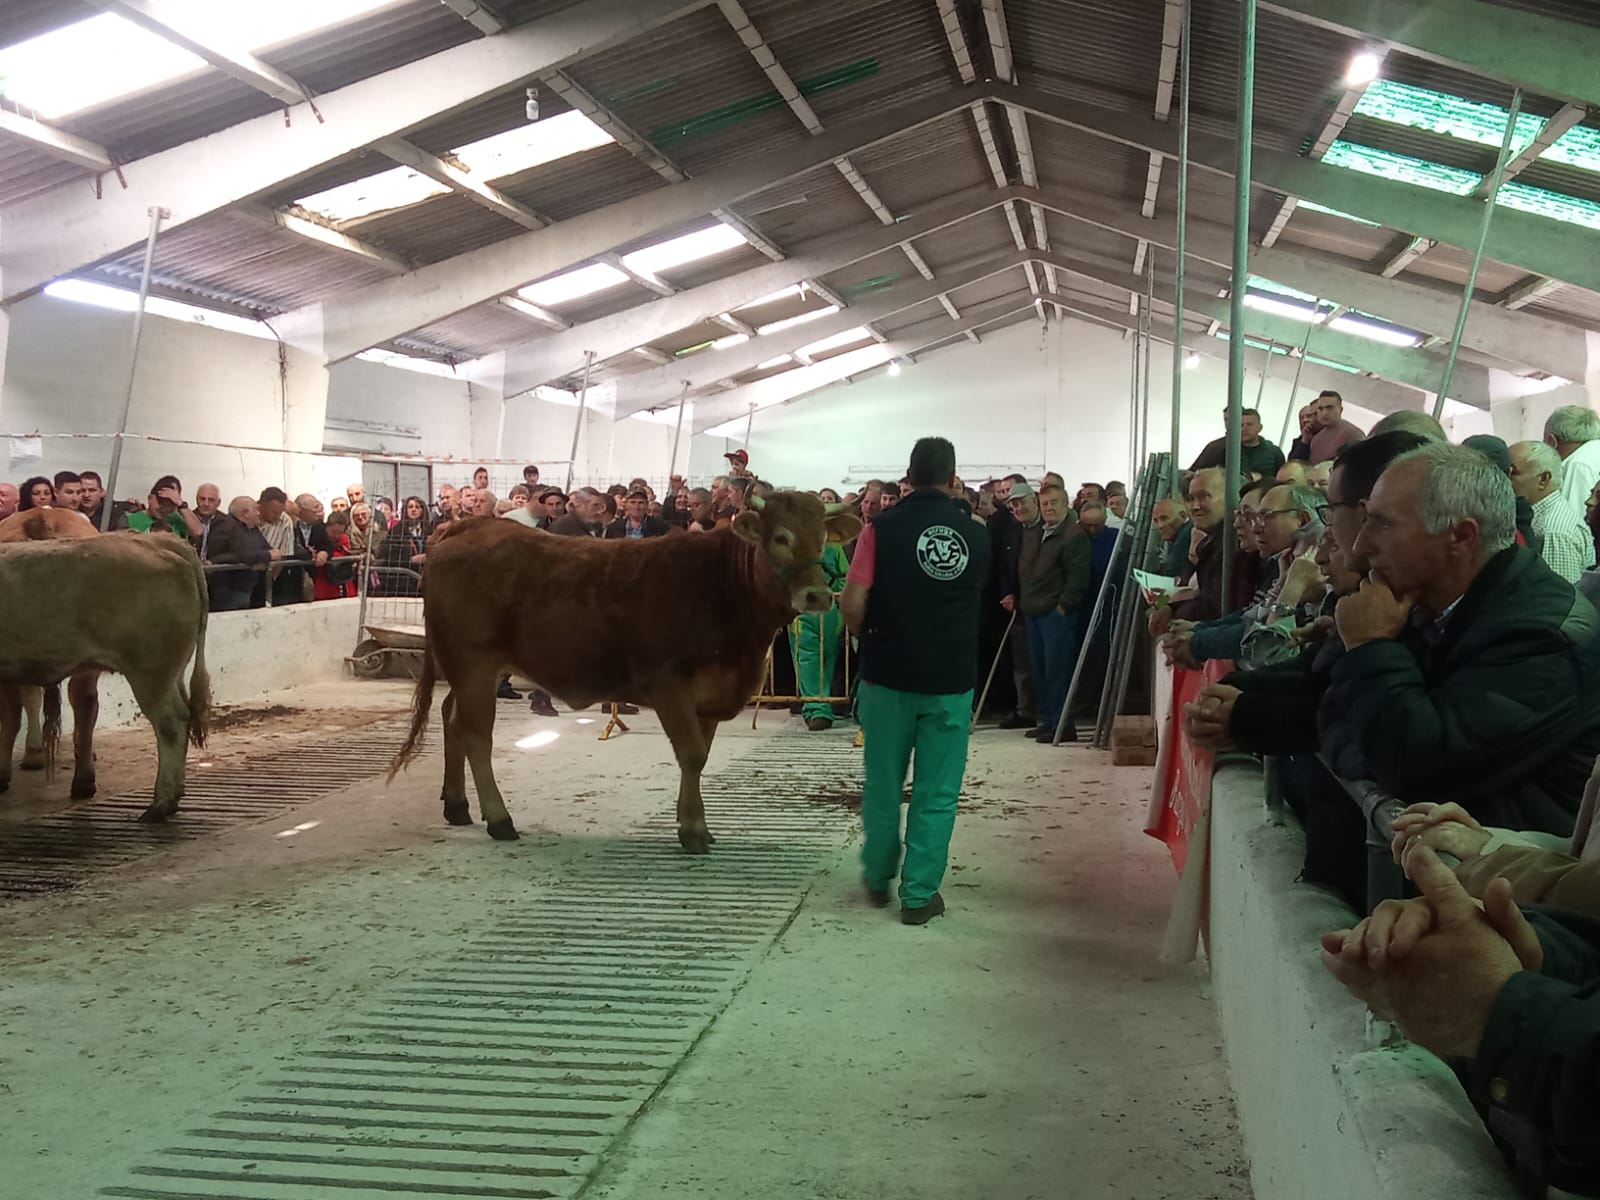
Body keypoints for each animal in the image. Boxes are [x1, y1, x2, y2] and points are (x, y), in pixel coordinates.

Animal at [391, 492, 860, 849]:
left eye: (822, 539)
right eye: (780, 537)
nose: (819, 595)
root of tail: (469, 526)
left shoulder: (709, 695)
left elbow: (701, 757)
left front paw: (692, 822)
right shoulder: (668, 682)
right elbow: (691, 754)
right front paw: (693, 829)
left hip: (469, 668)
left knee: (452, 718)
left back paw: (457, 805)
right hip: (473, 661)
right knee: (476, 735)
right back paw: (499, 819)